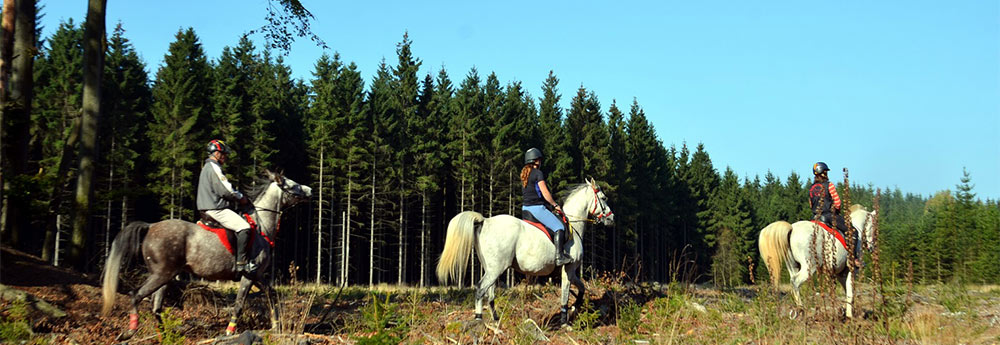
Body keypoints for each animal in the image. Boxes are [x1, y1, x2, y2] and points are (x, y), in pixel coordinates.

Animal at [102, 170, 308, 338]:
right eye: (293, 185)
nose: (310, 190)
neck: (260, 226)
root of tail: (150, 226)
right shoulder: (250, 275)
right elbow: (239, 304)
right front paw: (229, 331)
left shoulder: (257, 276)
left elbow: (271, 294)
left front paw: (276, 326)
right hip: (161, 275)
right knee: (136, 295)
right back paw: (130, 332)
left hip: (164, 277)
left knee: (156, 307)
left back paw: (165, 335)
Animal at [436, 177, 612, 326]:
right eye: (603, 198)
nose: (611, 219)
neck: (574, 226)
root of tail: (485, 221)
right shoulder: (568, 269)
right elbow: (565, 295)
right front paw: (565, 321)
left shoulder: (572, 271)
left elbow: (581, 288)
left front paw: (575, 307)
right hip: (496, 269)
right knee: (480, 289)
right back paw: (479, 319)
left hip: (491, 268)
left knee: (490, 293)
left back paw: (496, 319)